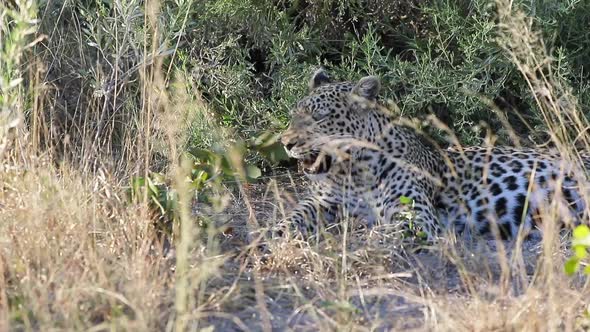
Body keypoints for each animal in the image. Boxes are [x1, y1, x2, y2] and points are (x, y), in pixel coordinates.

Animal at [278, 70, 590, 241]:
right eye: (295, 115)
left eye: (320, 117)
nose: (285, 142)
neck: (352, 173)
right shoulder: (320, 202)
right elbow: (292, 216)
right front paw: (272, 236)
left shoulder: (416, 217)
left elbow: (385, 235)